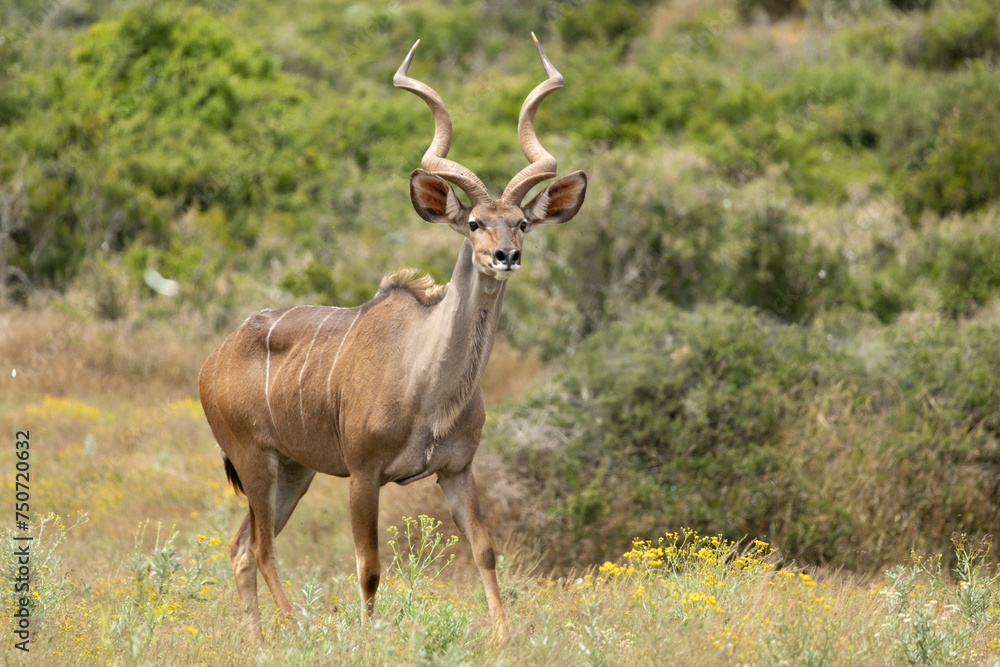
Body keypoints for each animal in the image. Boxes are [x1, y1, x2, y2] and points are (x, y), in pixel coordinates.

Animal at [197, 34, 584, 644]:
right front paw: (369, 637)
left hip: (295, 470)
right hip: (254, 460)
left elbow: (485, 550)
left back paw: (259, 640)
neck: (427, 384)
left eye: (522, 222)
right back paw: (296, 629)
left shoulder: (457, 470)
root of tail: (212, 361)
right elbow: (369, 566)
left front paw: (504, 637)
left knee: (240, 547)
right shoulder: (364, 473)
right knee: (259, 548)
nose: (506, 256)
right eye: (473, 223)